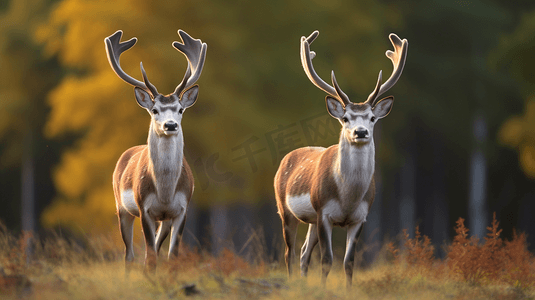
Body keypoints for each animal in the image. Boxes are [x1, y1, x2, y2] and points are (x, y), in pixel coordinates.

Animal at [105, 29, 207, 272]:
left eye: (180, 109)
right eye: (154, 110)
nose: (170, 125)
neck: (165, 192)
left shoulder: (181, 209)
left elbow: (172, 256)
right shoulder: (144, 208)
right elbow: (150, 257)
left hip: (164, 220)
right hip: (121, 206)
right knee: (129, 255)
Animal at [274, 31, 408, 288]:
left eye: (372, 118)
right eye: (345, 118)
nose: (360, 132)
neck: (348, 198)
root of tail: (285, 159)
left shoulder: (360, 218)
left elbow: (349, 262)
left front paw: (348, 290)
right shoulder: (323, 211)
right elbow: (327, 259)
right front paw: (324, 289)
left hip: (311, 220)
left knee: (304, 253)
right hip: (285, 209)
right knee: (289, 253)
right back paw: (292, 283)